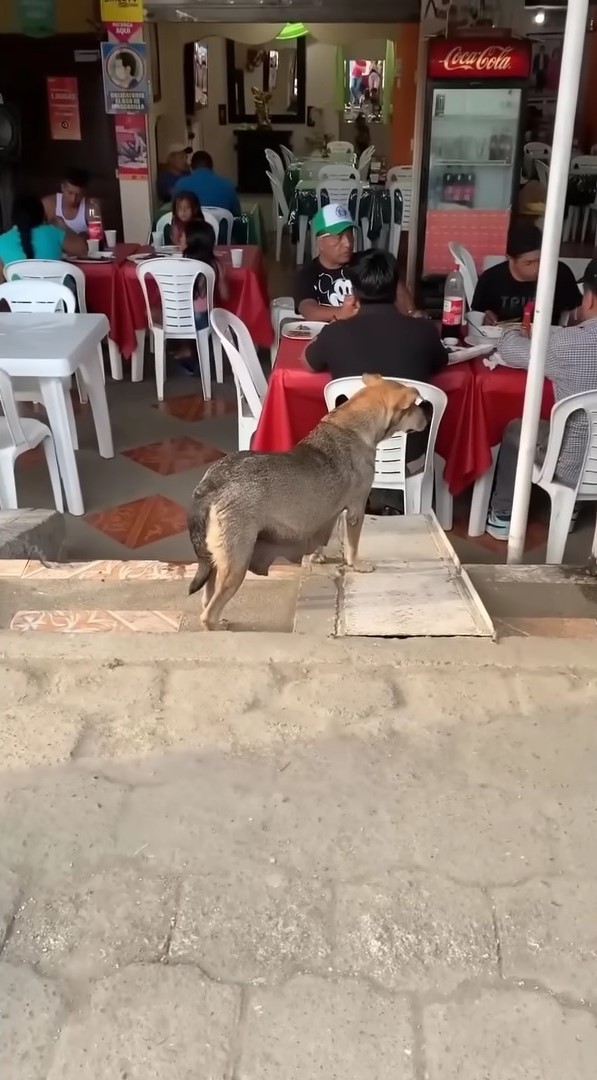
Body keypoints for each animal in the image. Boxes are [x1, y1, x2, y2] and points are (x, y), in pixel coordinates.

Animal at [188, 375, 425, 630]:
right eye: (413, 407)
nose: (427, 416)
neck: (353, 427)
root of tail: (211, 483)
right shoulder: (356, 509)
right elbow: (352, 546)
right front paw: (357, 564)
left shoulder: (328, 512)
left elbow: (322, 536)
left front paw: (316, 556)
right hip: (237, 562)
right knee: (209, 612)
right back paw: (217, 625)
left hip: (216, 559)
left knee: (207, 594)